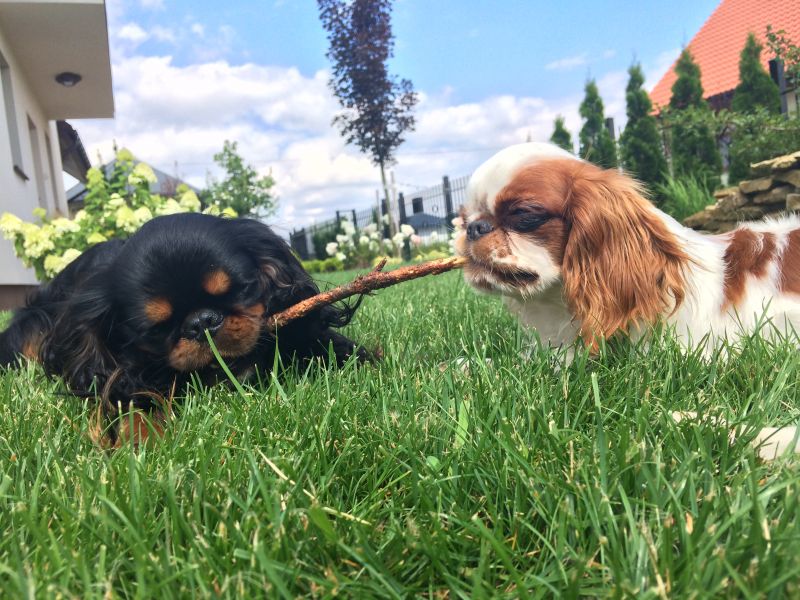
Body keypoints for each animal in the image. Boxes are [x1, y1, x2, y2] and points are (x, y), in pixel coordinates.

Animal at [0, 213, 369, 444]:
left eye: (241, 289)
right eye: (156, 328)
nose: (202, 321)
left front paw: (362, 364)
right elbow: (127, 399)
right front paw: (142, 439)